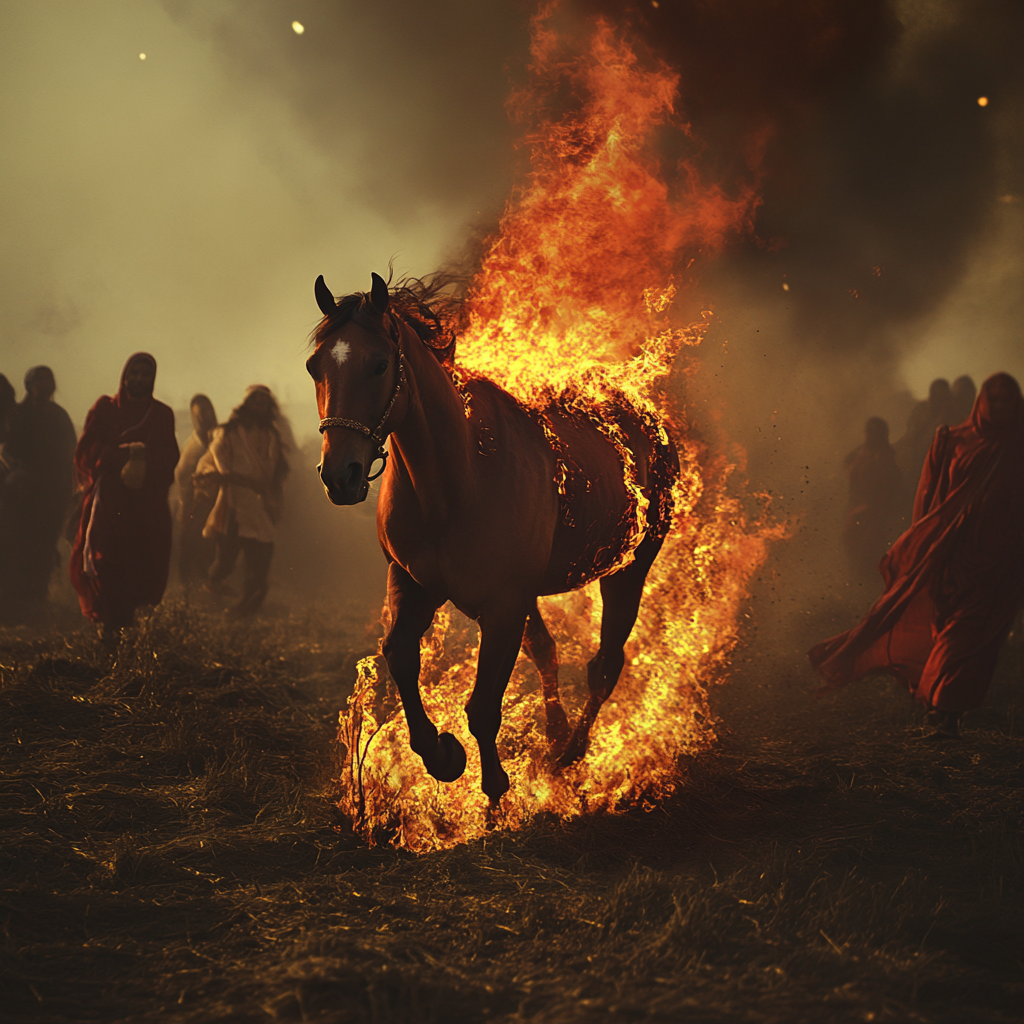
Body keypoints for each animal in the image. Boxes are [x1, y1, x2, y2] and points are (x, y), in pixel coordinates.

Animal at [309, 276, 679, 802]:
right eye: (314, 366)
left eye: (379, 364)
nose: (340, 476)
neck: (454, 483)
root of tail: (647, 420)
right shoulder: (412, 583)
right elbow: (400, 655)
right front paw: (442, 755)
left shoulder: (503, 606)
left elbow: (483, 706)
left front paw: (495, 786)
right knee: (549, 653)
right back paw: (557, 738)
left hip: (627, 572)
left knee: (605, 665)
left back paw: (569, 755)